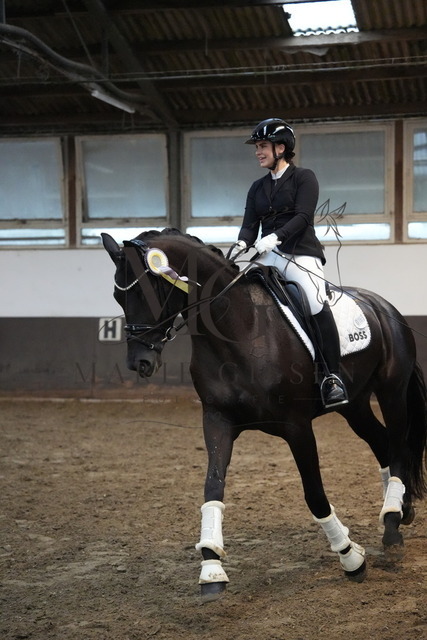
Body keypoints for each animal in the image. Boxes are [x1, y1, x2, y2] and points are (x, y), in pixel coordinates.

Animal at [101, 227, 427, 601]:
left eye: (148, 291)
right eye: (118, 295)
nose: (139, 363)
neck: (236, 331)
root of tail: (383, 305)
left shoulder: (297, 427)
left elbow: (315, 495)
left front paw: (350, 557)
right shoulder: (217, 421)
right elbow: (212, 488)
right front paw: (211, 567)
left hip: (391, 392)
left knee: (399, 447)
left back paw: (392, 529)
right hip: (354, 404)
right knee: (383, 443)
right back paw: (399, 510)